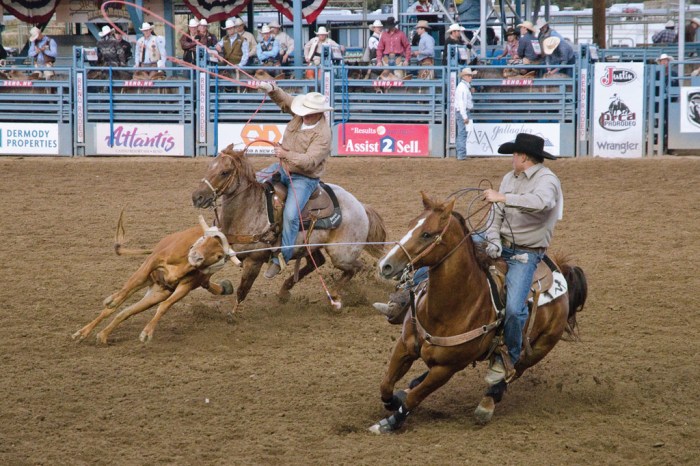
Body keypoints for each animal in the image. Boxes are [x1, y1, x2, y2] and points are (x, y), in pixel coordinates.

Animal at [71, 213, 241, 344]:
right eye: (206, 240)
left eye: (218, 255)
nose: (196, 257)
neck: (184, 264)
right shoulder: (153, 261)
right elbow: (125, 291)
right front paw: (113, 300)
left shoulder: (185, 286)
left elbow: (164, 306)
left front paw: (147, 333)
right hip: (150, 277)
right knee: (115, 305)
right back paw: (84, 331)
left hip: (157, 292)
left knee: (125, 312)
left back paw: (102, 335)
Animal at [191, 146, 388, 314]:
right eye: (209, 166)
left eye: (225, 172)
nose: (197, 197)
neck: (247, 210)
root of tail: (360, 205)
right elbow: (203, 276)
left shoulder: (254, 261)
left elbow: (243, 289)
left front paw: (233, 314)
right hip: (311, 246)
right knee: (316, 262)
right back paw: (284, 292)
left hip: (342, 254)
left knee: (355, 267)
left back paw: (334, 297)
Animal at [370, 193, 588, 434]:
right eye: (410, 225)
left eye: (427, 234)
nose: (385, 265)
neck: (447, 309)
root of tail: (560, 270)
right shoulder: (405, 346)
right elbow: (386, 385)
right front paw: (394, 400)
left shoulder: (446, 368)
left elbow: (416, 397)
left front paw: (391, 422)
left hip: (539, 348)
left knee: (512, 373)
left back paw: (487, 404)